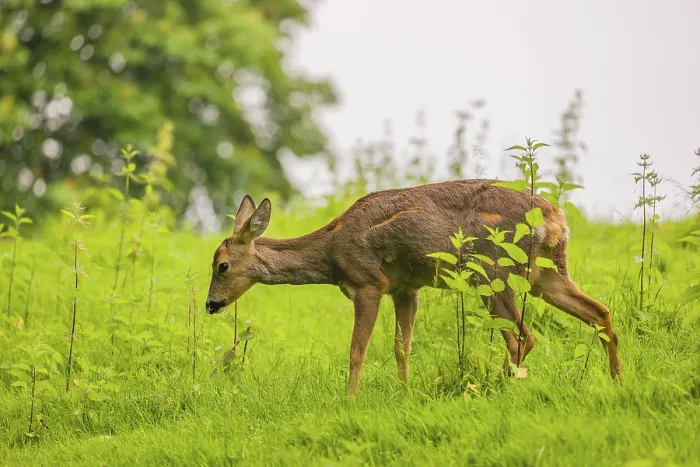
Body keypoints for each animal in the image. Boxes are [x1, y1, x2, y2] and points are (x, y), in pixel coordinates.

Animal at [205, 179, 623, 396]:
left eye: (222, 265)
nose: (211, 304)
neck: (332, 251)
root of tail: (554, 218)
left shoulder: (368, 283)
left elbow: (357, 350)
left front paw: (349, 400)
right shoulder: (406, 288)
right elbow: (401, 347)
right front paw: (404, 392)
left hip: (492, 272)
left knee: (523, 336)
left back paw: (501, 387)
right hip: (545, 273)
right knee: (599, 311)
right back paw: (617, 380)